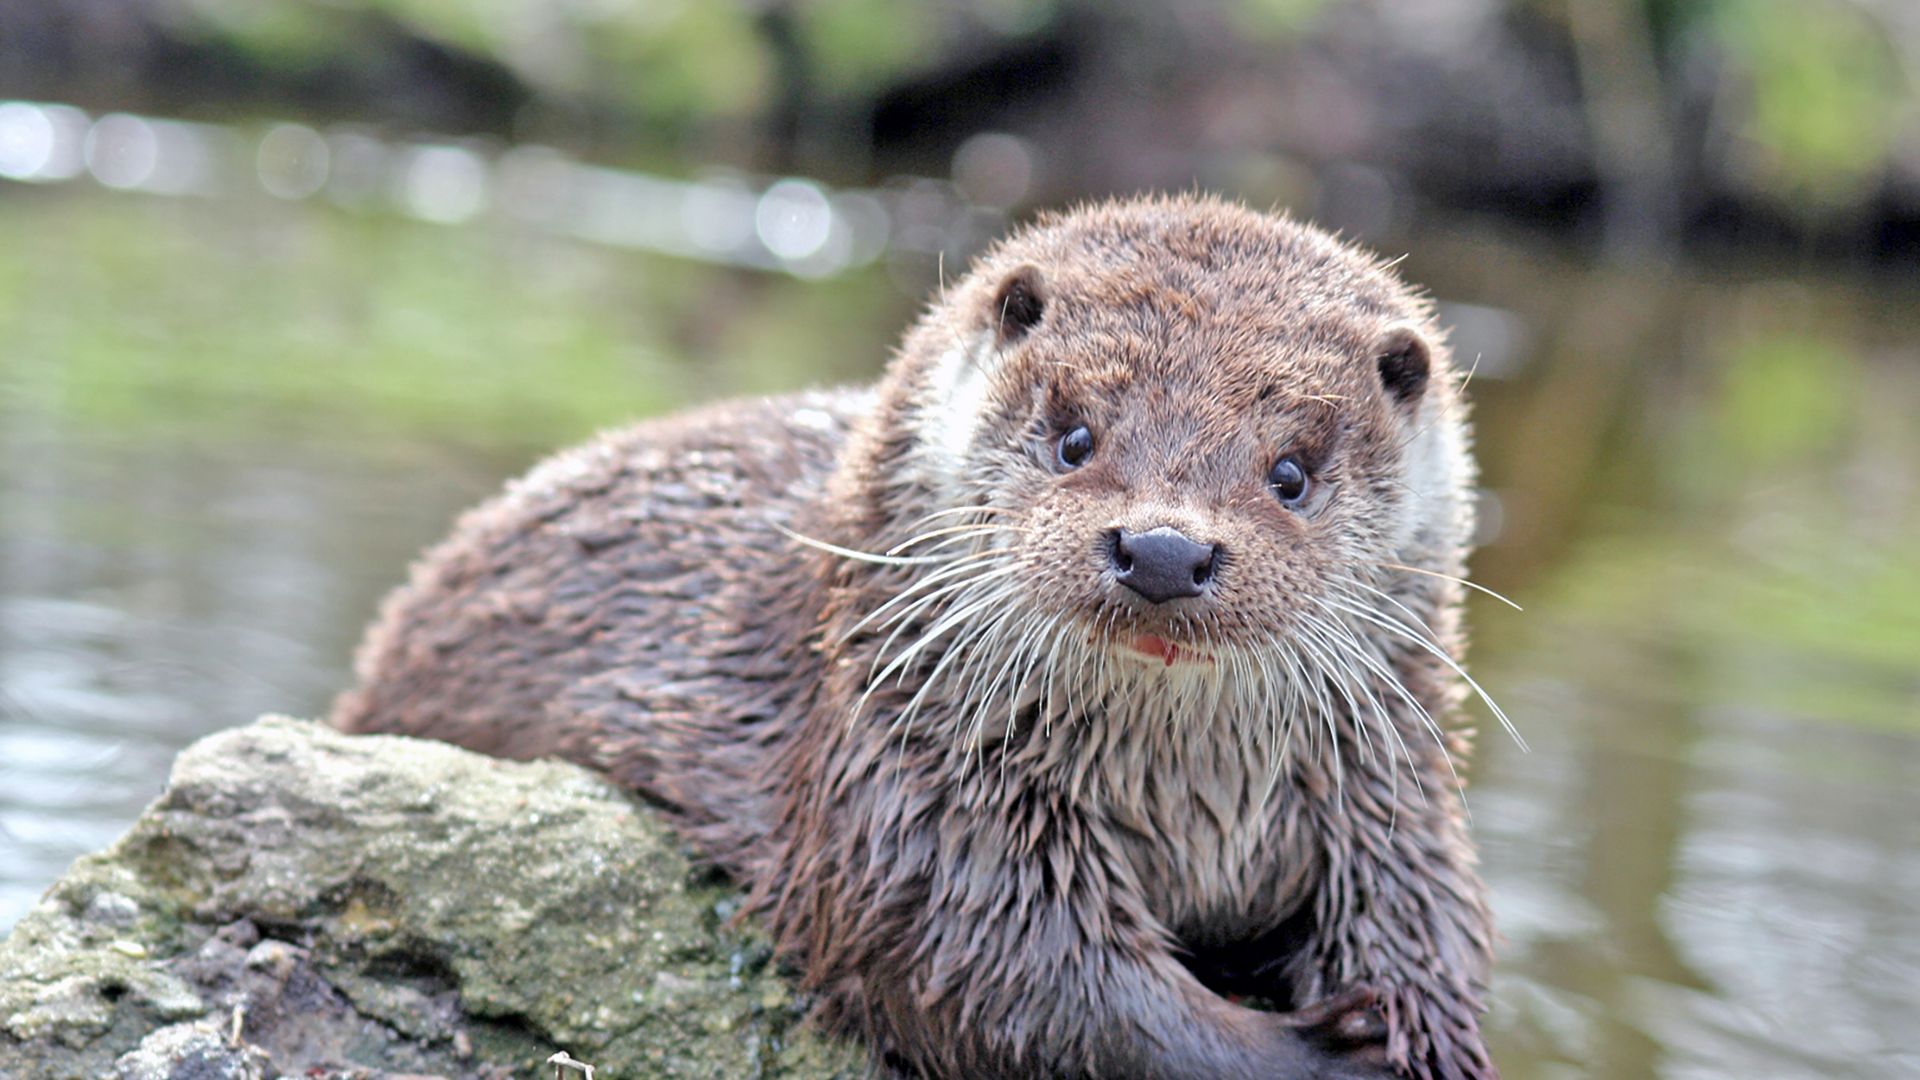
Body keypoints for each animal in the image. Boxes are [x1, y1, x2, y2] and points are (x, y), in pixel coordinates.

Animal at [333, 195, 1501, 1080]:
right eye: (1075, 437)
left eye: (1290, 474)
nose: (1165, 550)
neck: (1186, 809)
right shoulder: (913, 790)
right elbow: (1024, 980)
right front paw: (1327, 1055)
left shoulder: (1392, 802)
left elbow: (1433, 927)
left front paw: (1416, 1027)